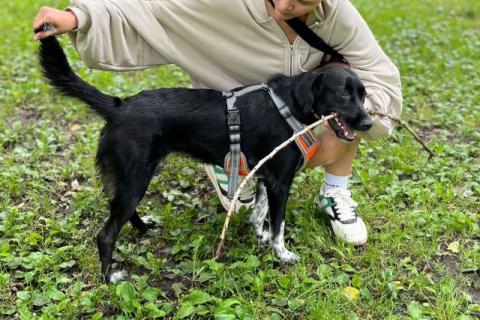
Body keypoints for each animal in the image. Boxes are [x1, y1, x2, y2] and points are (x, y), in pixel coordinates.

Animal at [39, 33, 374, 282]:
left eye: (363, 95)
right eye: (343, 93)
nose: (369, 123)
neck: (291, 102)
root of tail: (118, 105)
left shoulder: (265, 176)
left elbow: (260, 213)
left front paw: (261, 237)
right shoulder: (280, 181)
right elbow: (278, 224)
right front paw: (281, 254)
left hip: (131, 177)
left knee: (120, 212)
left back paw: (142, 227)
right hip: (136, 177)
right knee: (106, 234)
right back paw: (109, 278)